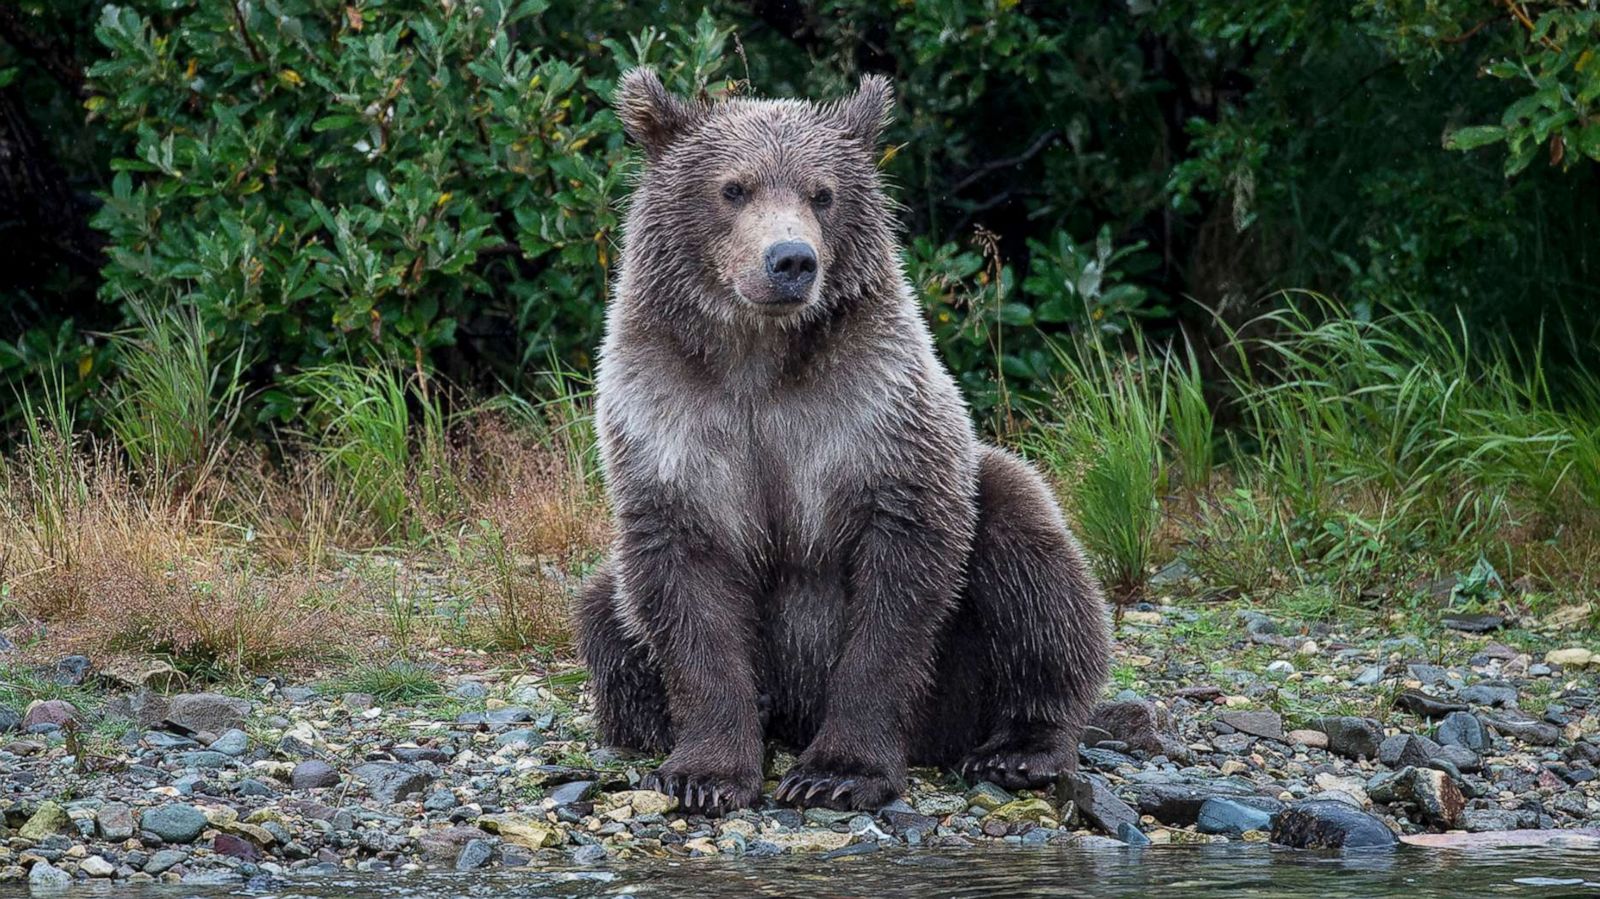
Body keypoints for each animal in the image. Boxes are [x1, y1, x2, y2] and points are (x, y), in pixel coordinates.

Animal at [579, 68, 1113, 812]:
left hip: (972, 642)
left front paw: (838, 771)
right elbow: (685, 588)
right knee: (604, 611)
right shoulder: (673, 422)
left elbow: (897, 593)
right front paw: (705, 773)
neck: (759, 361)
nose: (791, 260)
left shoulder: (874, 418)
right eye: (734, 187)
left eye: (821, 192)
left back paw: (1021, 748)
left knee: (1036, 567)